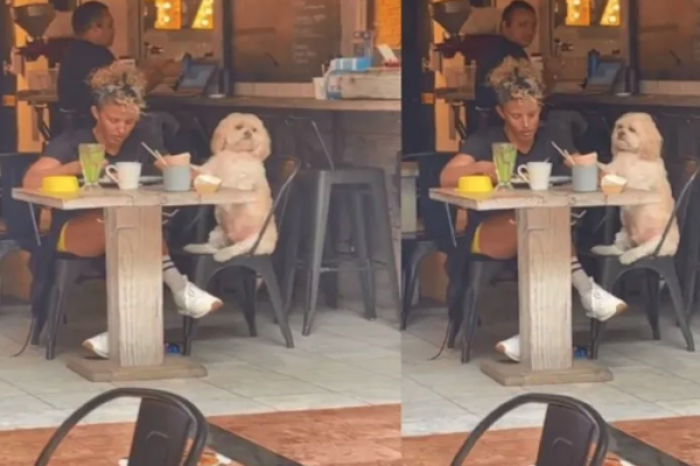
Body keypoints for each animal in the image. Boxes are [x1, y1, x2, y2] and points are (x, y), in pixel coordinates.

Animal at [185, 112, 278, 262]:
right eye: (238, 127)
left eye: (254, 130)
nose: (248, 133)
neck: (237, 154)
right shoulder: (211, 169)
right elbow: (203, 172)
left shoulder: (252, 176)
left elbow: (246, 181)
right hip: (218, 231)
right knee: (213, 247)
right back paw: (196, 248)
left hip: (255, 240)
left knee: (238, 248)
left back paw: (224, 254)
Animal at [592, 112, 680, 264]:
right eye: (619, 127)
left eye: (632, 130)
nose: (621, 133)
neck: (630, 154)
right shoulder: (614, 167)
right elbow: (608, 169)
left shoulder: (639, 183)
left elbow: (627, 181)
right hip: (623, 233)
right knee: (619, 248)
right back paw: (603, 249)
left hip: (657, 242)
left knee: (641, 250)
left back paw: (629, 256)